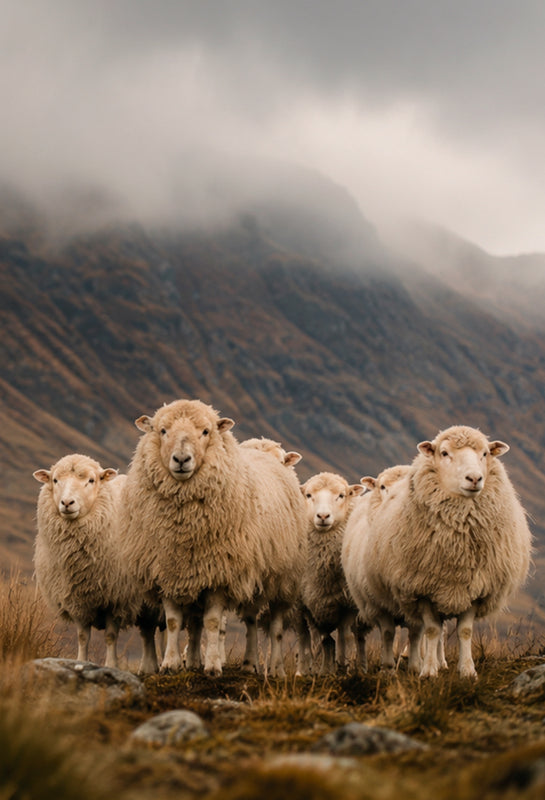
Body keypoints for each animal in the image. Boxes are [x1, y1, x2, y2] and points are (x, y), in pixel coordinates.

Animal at [33, 454, 143, 669]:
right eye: (55, 480)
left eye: (91, 480)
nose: (67, 502)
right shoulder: (77, 601)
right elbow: (83, 637)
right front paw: (80, 662)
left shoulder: (116, 598)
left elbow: (110, 637)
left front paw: (111, 665)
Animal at [118, 398, 308, 677]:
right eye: (162, 430)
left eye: (206, 431)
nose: (182, 459)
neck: (183, 526)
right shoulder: (167, 570)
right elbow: (174, 622)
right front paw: (171, 664)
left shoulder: (220, 572)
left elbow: (213, 621)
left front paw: (213, 666)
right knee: (250, 621)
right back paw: (248, 663)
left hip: (282, 578)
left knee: (275, 627)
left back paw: (274, 669)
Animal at [299, 471, 368, 674]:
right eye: (308, 495)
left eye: (341, 495)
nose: (323, 516)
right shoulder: (309, 603)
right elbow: (322, 640)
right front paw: (322, 671)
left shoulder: (350, 604)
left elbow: (347, 638)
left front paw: (347, 669)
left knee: (353, 636)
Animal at [361, 426, 532, 678]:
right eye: (444, 453)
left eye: (484, 453)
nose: (474, 478)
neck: (458, 548)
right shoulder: (422, 589)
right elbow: (431, 630)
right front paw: (428, 671)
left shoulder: (475, 589)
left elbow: (465, 632)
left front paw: (468, 671)